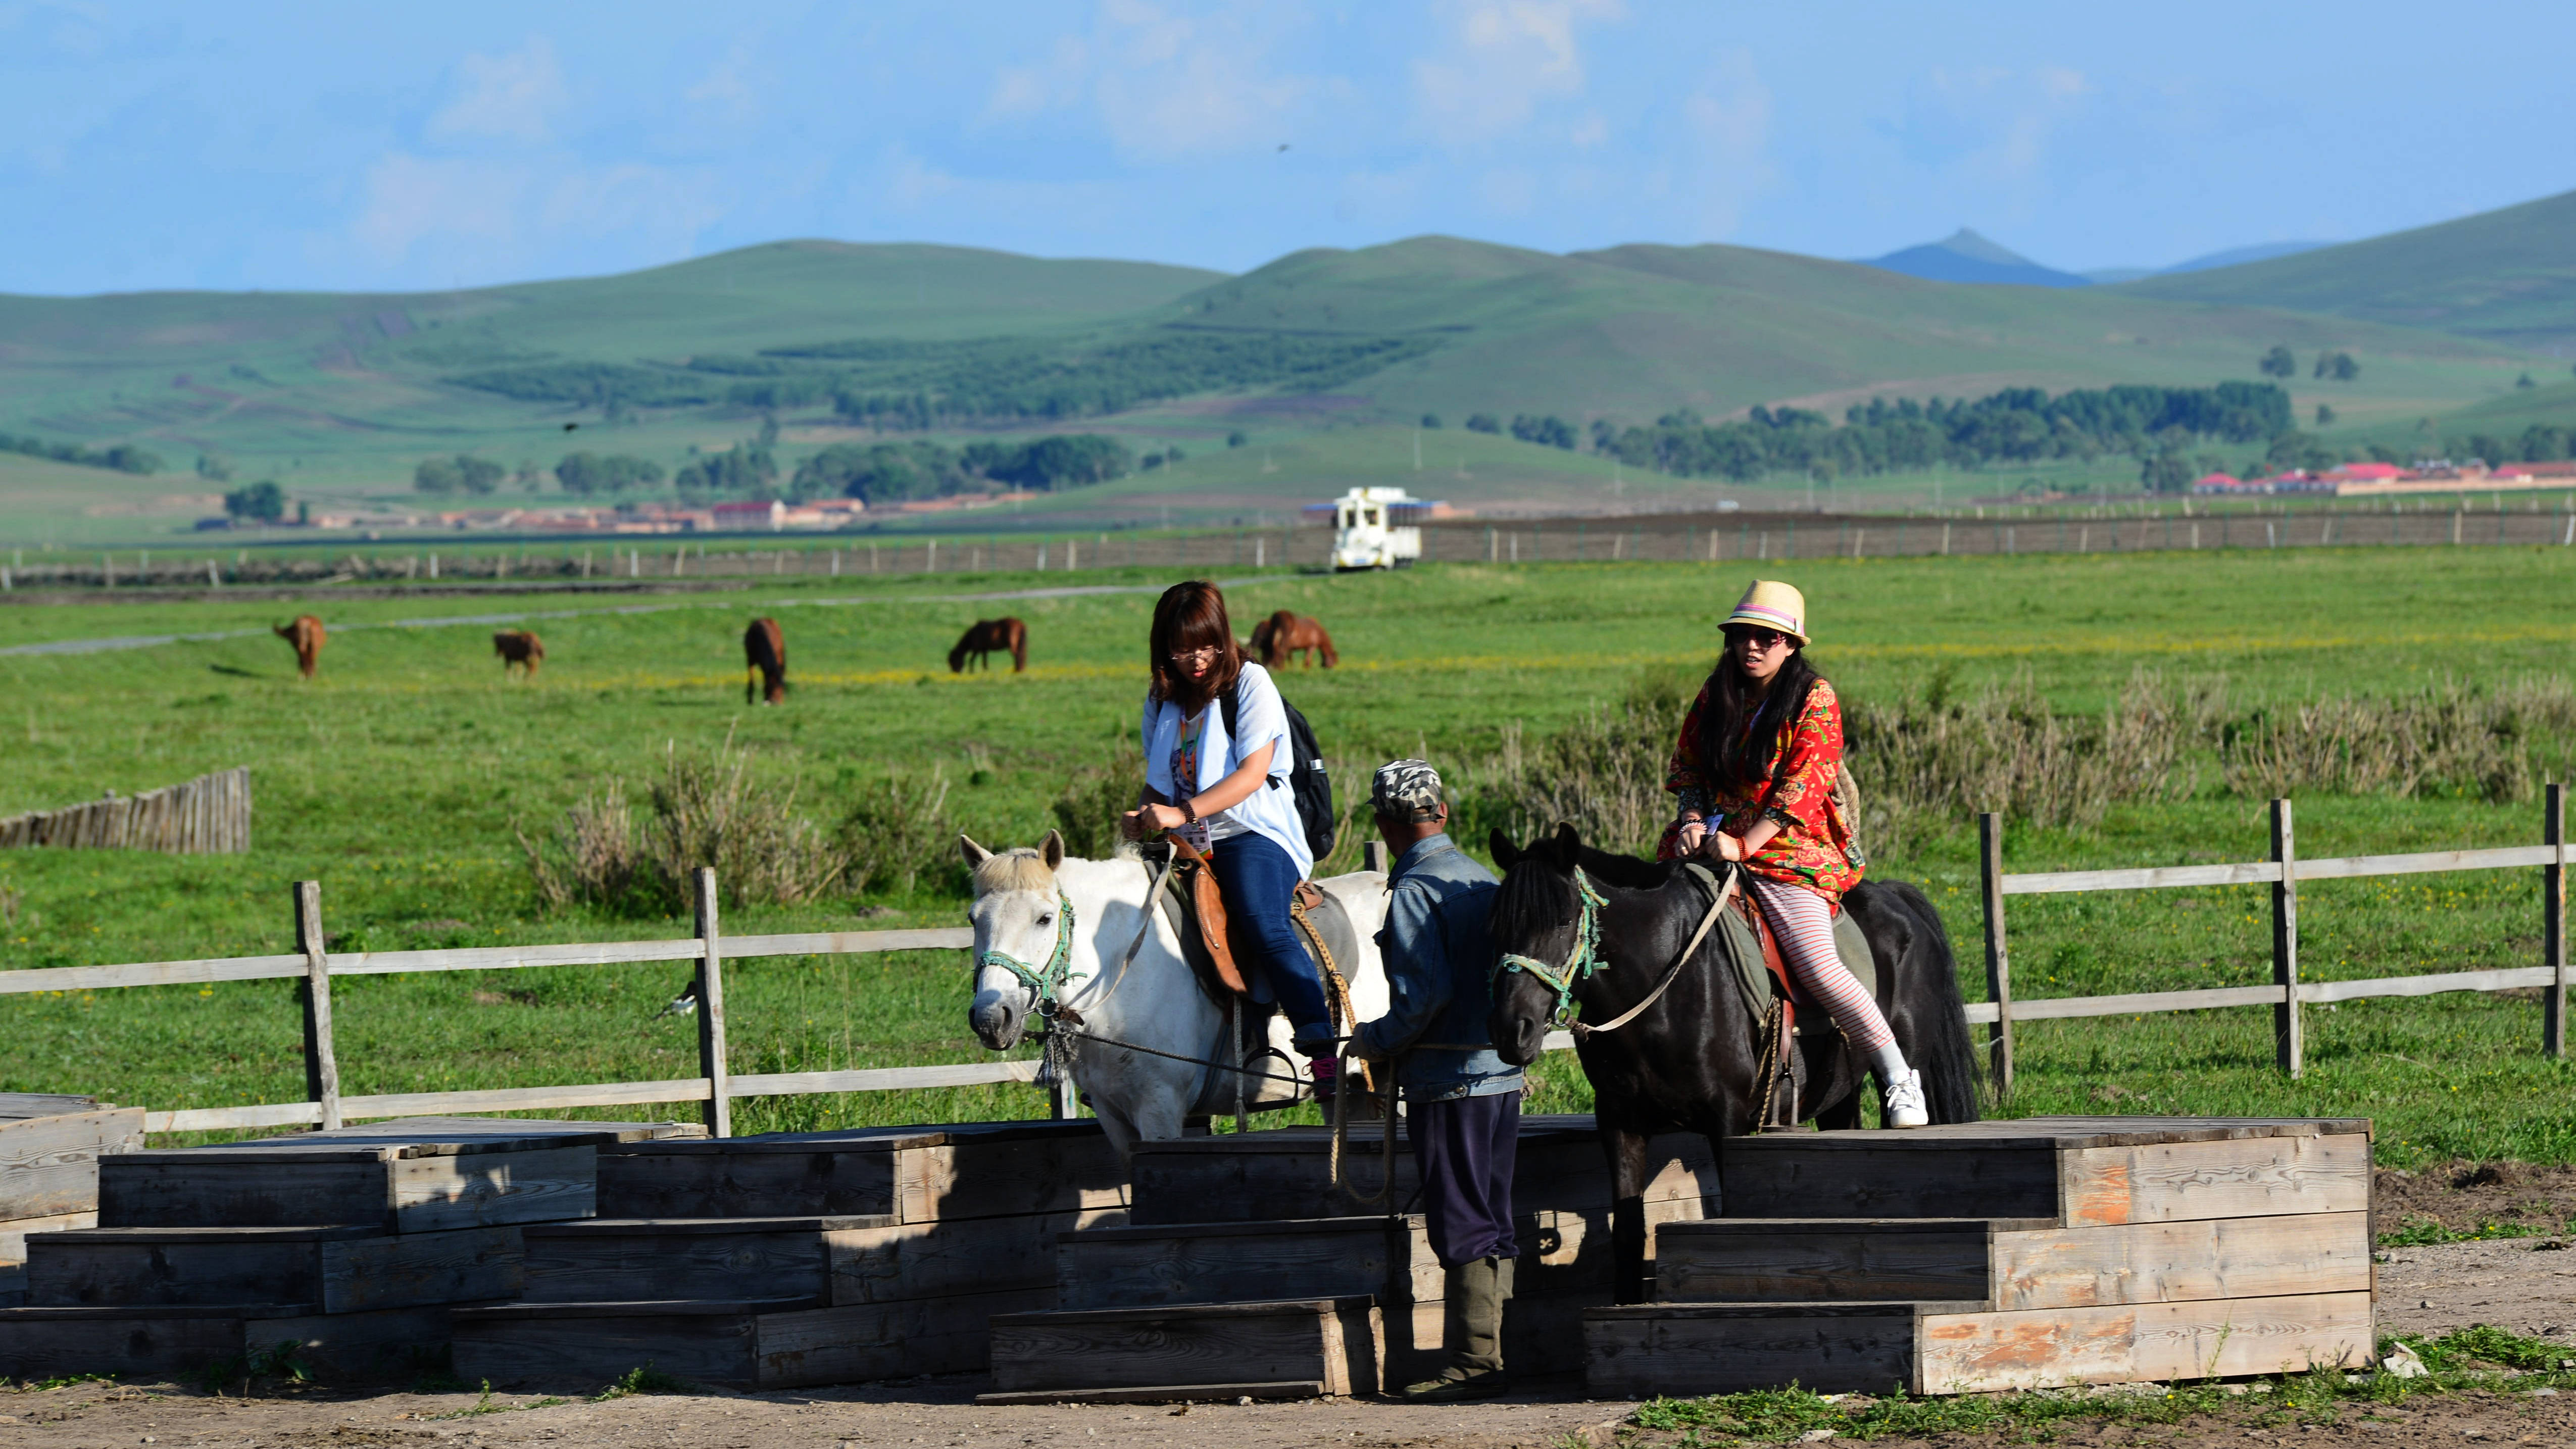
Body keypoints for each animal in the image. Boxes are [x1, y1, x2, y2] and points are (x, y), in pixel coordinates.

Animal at [747, 615, 783, 705]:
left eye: (782, 686)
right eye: (772, 686)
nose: (779, 703)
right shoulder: (750, 660)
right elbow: (752, 679)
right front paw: (750, 701)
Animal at [948, 618, 1025, 674]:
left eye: (953, 660)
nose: (956, 673)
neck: (974, 635)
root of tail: (1020, 624)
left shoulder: (977, 649)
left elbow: (972, 660)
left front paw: (972, 672)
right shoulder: (984, 650)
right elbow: (985, 663)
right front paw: (986, 672)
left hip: (1012, 646)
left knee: (1017, 656)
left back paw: (1017, 670)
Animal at [963, 834, 1391, 1163]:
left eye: (1044, 918)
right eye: (973, 918)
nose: (991, 1017)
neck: (1120, 968)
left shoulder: (1159, 1107)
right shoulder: (1112, 1113)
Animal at [1252, 610, 1340, 674]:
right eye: (1334, 661)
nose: (1330, 669)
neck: (1318, 631)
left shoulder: (1291, 648)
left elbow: (1291, 659)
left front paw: (1292, 669)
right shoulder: (1311, 646)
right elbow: (1307, 661)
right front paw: (1306, 671)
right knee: (1280, 653)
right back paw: (1280, 668)